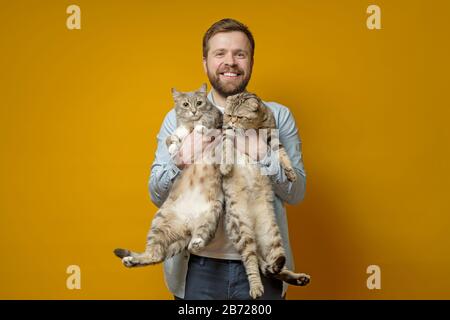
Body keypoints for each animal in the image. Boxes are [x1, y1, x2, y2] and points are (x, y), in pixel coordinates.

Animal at [114, 84, 223, 268]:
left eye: (199, 102)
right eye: (185, 104)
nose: (193, 111)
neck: (190, 123)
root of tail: (187, 225)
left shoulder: (218, 117)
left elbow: (207, 119)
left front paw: (200, 126)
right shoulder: (180, 130)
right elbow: (171, 138)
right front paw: (173, 148)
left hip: (212, 215)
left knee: (202, 235)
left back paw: (196, 242)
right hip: (159, 222)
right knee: (156, 254)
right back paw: (132, 259)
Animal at [220, 92, 312, 300]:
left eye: (239, 116)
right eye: (228, 115)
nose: (231, 122)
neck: (252, 128)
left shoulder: (272, 135)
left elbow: (282, 154)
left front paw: (290, 172)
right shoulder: (226, 134)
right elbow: (226, 148)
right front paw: (225, 166)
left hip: (272, 236)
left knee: (273, 267)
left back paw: (297, 277)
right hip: (241, 230)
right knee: (252, 263)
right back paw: (256, 287)